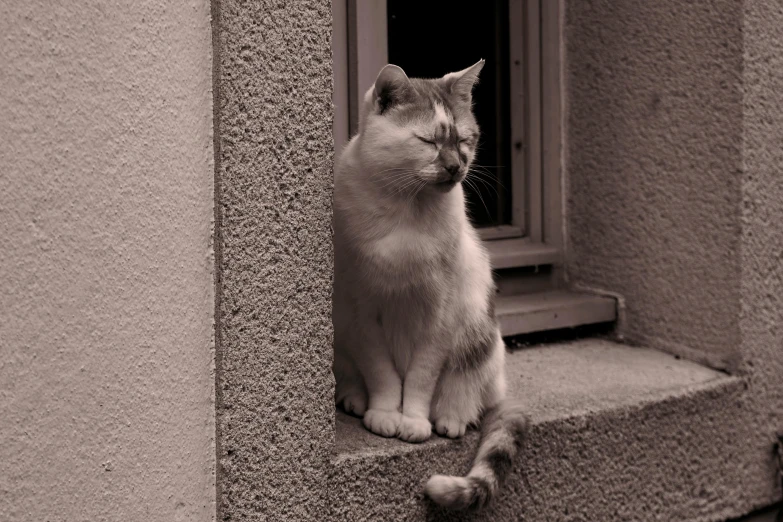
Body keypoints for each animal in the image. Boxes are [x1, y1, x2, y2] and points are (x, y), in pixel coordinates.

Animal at [330, 60, 528, 508]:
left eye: (464, 140)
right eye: (428, 141)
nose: (456, 167)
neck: (406, 211)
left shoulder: (440, 315)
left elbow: (420, 378)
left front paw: (414, 422)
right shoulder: (362, 313)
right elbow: (382, 373)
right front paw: (386, 414)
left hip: (479, 339)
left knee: (469, 394)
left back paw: (451, 418)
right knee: (353, 373)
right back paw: (354, 398)